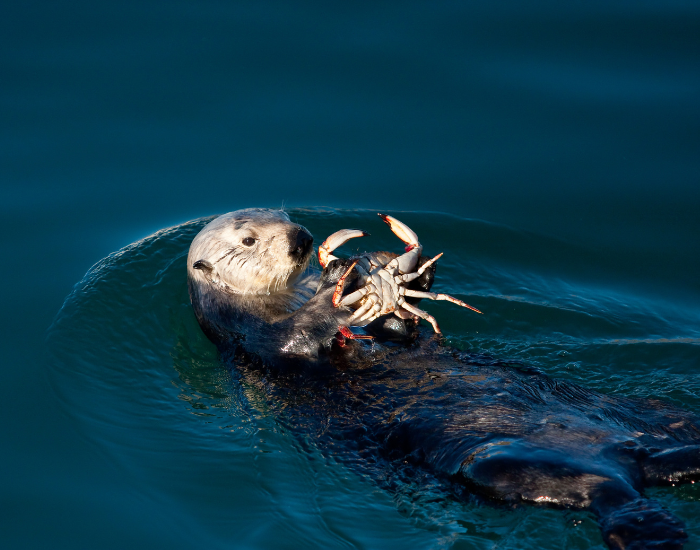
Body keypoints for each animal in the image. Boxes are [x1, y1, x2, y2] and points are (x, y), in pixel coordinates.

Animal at [188, 208, 700, 549]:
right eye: (249, 241)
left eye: (285, 215)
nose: (302, 237)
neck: (288, 298)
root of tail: (624, 460)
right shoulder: (246, 337)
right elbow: (290, 342)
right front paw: (338, 279)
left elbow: (404, 328)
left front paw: (380, 266)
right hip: (496, 464)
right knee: (599, 491)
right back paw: (650, 525)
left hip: (640, 414)